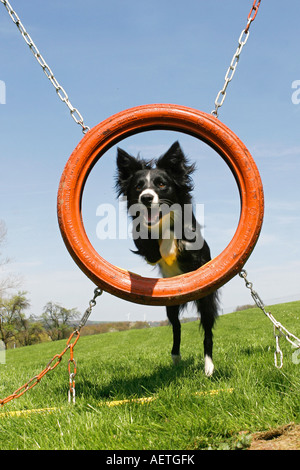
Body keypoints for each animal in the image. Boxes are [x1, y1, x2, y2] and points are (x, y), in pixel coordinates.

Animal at [115, 141, 218, 376]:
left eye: (161, 184)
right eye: (138, 187)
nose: (146, 198)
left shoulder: (193, 246)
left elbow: (180, 234)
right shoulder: (145, 244)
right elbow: (145, 241)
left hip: (206, 300)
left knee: (207, 332)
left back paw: (208, 366)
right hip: (169, 305)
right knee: (177, 327)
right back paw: (175, 357)